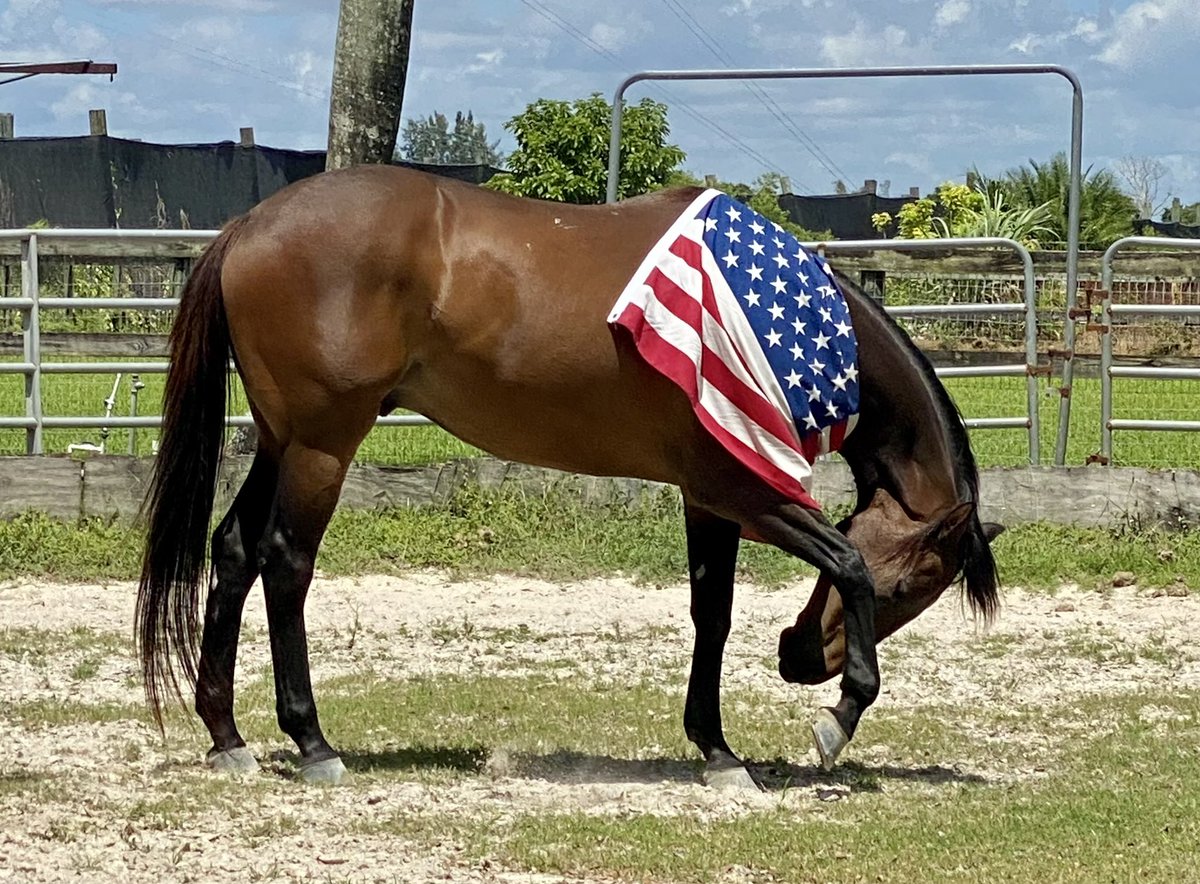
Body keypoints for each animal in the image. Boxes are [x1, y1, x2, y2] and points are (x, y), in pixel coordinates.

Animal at [137, 164, 1001, 789]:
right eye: (907, 590)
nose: (796, 659)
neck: (792, 326)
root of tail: (249, 226)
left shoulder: (708, 499)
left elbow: (712, 614)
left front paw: (716, 750)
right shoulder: (748, 494)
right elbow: (846, 563)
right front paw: (840, 714)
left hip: (283, 441)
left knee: (234, 552)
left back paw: (228, 736)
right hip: (321, 446)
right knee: (285, 564)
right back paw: (312, 742)